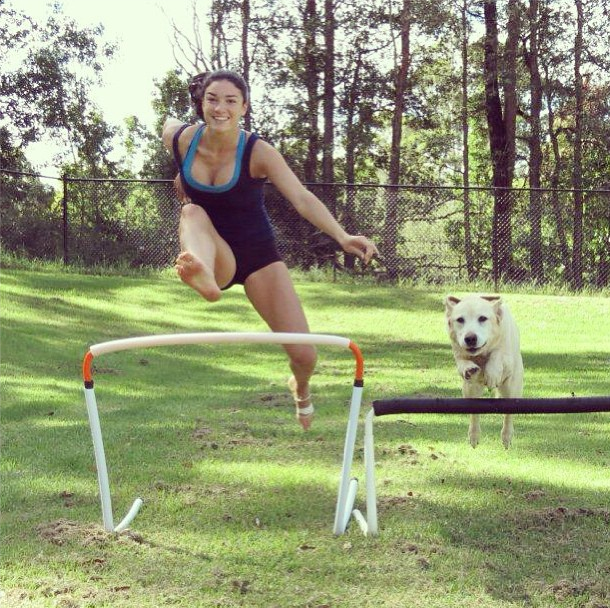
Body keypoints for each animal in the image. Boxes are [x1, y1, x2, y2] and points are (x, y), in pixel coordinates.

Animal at [445, 294, 524, 448]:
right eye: (460, 320)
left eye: (482, 318)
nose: (470, 338)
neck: (481, 354)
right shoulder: (458, 352)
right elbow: (462, 361)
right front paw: (469, 368)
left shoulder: (505, 354)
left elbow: (497, 354)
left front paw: (492, 374)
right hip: (469, 390)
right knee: (474, 414)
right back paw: (474, 435)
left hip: (511, 388)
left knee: (508, 414)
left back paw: (506, 436)